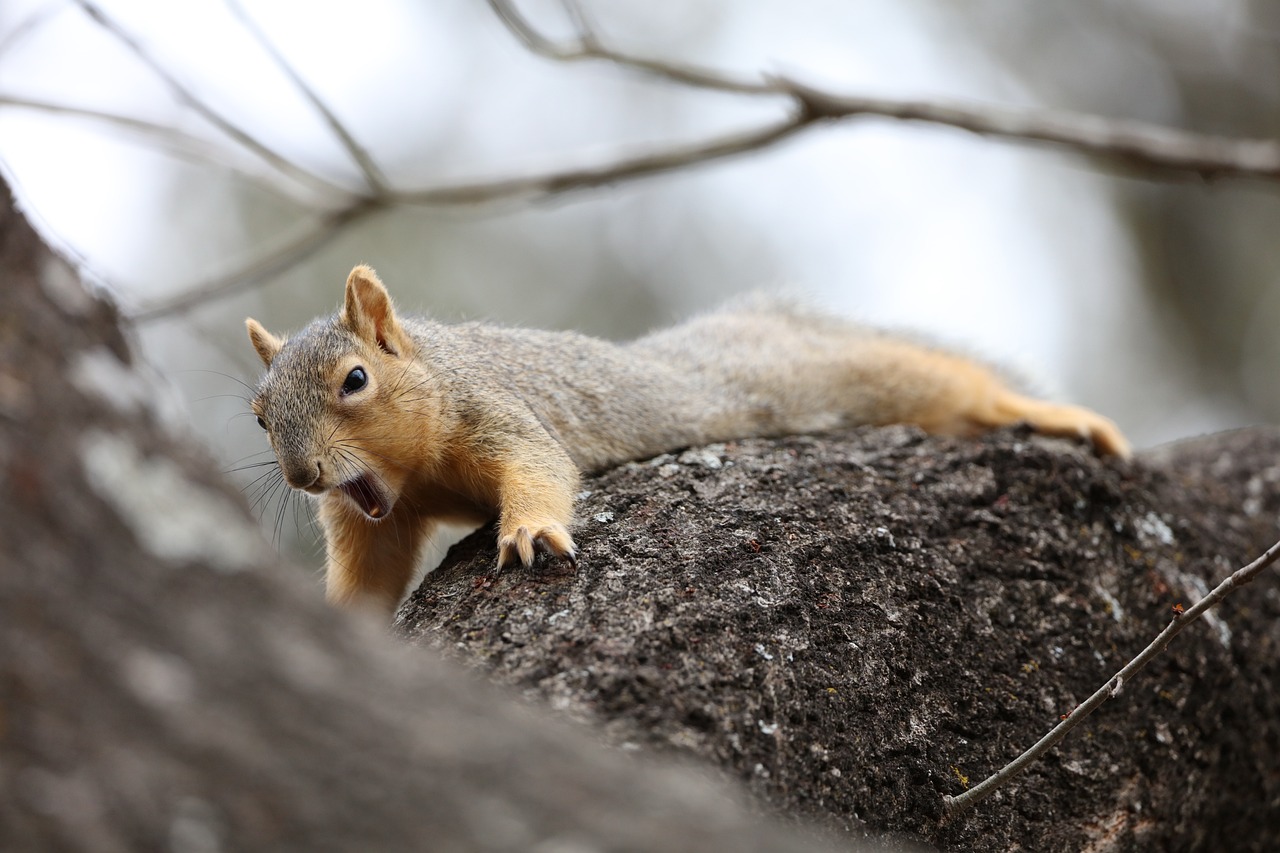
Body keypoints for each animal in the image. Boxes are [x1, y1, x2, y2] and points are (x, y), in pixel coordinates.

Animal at [244, 266, 1126, 612]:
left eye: (356, 380)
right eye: (258, 413)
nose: (303, 473)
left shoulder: (495, 410)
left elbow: (538, 467)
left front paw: (530, 530)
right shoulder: (371, 518)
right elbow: (371, 572)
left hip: (833, 376)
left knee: (949, 386)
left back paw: (1059, 416)